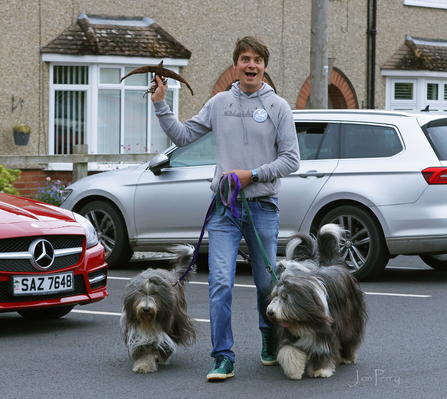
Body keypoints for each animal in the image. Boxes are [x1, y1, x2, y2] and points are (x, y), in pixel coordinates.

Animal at [121, 245, 196, 374]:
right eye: (140, 292)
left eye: (155, 293)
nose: (146, 309)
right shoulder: (138, 332)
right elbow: (145, 349)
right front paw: (144, 365)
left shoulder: (168, 326)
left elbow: (166, 344)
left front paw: (163, 357)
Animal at [266, 225, 368, 382]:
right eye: (275, 295)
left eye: (285, 297)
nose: (271, 312)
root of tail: (334, 264)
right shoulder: (288, 330)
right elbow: (288, 349)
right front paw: (294, 369)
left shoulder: (324, 331)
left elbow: (322, 349)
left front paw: (321, 370)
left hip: (350, 319)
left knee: (349, 337)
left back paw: (347, 357)